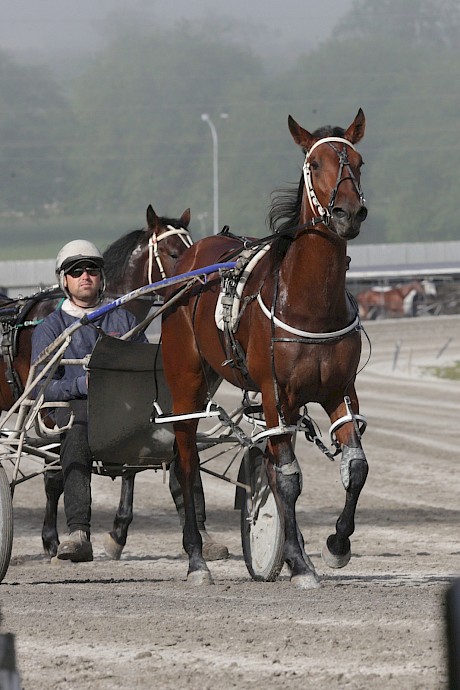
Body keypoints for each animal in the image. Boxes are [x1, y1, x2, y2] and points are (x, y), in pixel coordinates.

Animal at [0, 203, 190, 552]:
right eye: (173, 252)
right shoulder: (47, 406)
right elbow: (55, 475)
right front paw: (52, 539)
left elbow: (131, 458)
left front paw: (118, 532)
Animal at [162, 107, 370, 584]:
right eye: (315, 164)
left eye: (358, 161)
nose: (348, 214)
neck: (311, 303)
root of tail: (191, 259)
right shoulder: (278, 392)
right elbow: (289, 478)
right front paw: (301, 565)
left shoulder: (337, 390)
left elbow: (354, 466)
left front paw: (334, 545)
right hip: (187, 379)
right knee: (186, 462)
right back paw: (197, 559)